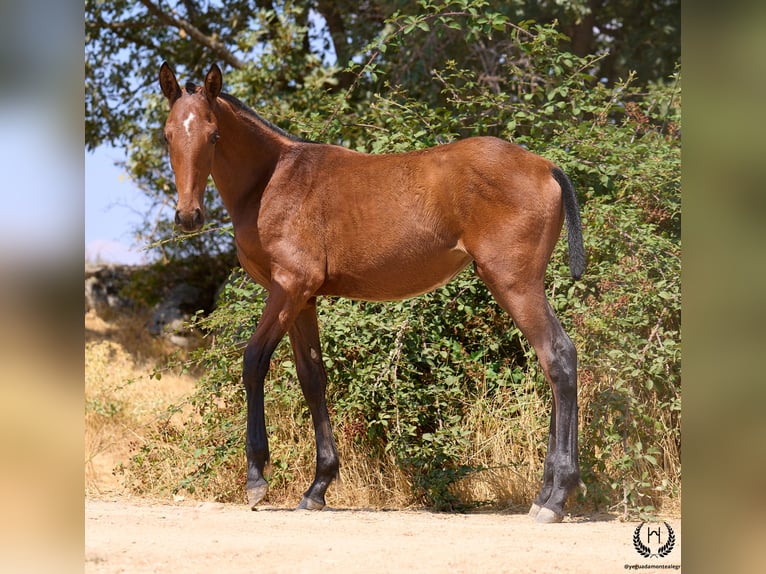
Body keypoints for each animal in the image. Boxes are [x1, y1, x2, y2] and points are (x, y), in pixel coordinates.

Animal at [159, 62, 585, 523]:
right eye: (167, 134)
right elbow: (313, 378)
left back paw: (555, 498)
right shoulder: (303, 299)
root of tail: (546, 167)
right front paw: (318, 486)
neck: (273, 180)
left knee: (557, 358)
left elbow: (254, 362)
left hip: (514, 282)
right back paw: (547, 493)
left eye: (213, 135)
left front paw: (256, 479)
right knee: (557, 360)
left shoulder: (288, 287)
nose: (188, 215)